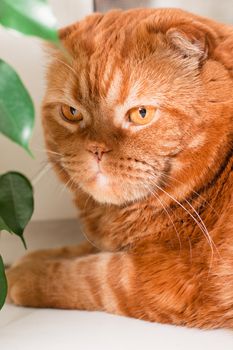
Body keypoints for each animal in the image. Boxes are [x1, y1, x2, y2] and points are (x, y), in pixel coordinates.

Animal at [6, 8, 233, 330]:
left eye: (141, 114)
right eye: (71, 112)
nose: (96, 149)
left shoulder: (173, 280)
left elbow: (88, 274)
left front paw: (25, 274)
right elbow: (83, 249)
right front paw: (35, 257)